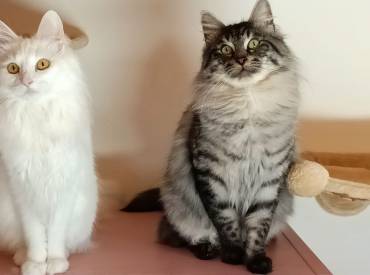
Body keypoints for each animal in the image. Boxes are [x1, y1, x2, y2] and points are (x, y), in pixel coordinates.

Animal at [0, 10, 97, 275]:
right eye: (13, 68)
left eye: (42, 64)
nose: (26, 81)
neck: (36, 114)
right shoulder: (23, 191)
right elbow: (34, 236)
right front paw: (34, 263)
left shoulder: (62, 189)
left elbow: (54, 235)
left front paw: (54, 262)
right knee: (19, 243)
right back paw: (21, 257)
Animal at [123, 0, 300, 274]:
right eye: (225, 49)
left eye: (253, 44)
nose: (241, 59)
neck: (247, 104)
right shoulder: (212, 175)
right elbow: (225, 221)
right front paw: (233, 255)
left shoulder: (269, 179)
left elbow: (259, 225)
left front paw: (256, 259)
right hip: (177, 205)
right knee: (178, 236)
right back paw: (206, 249)